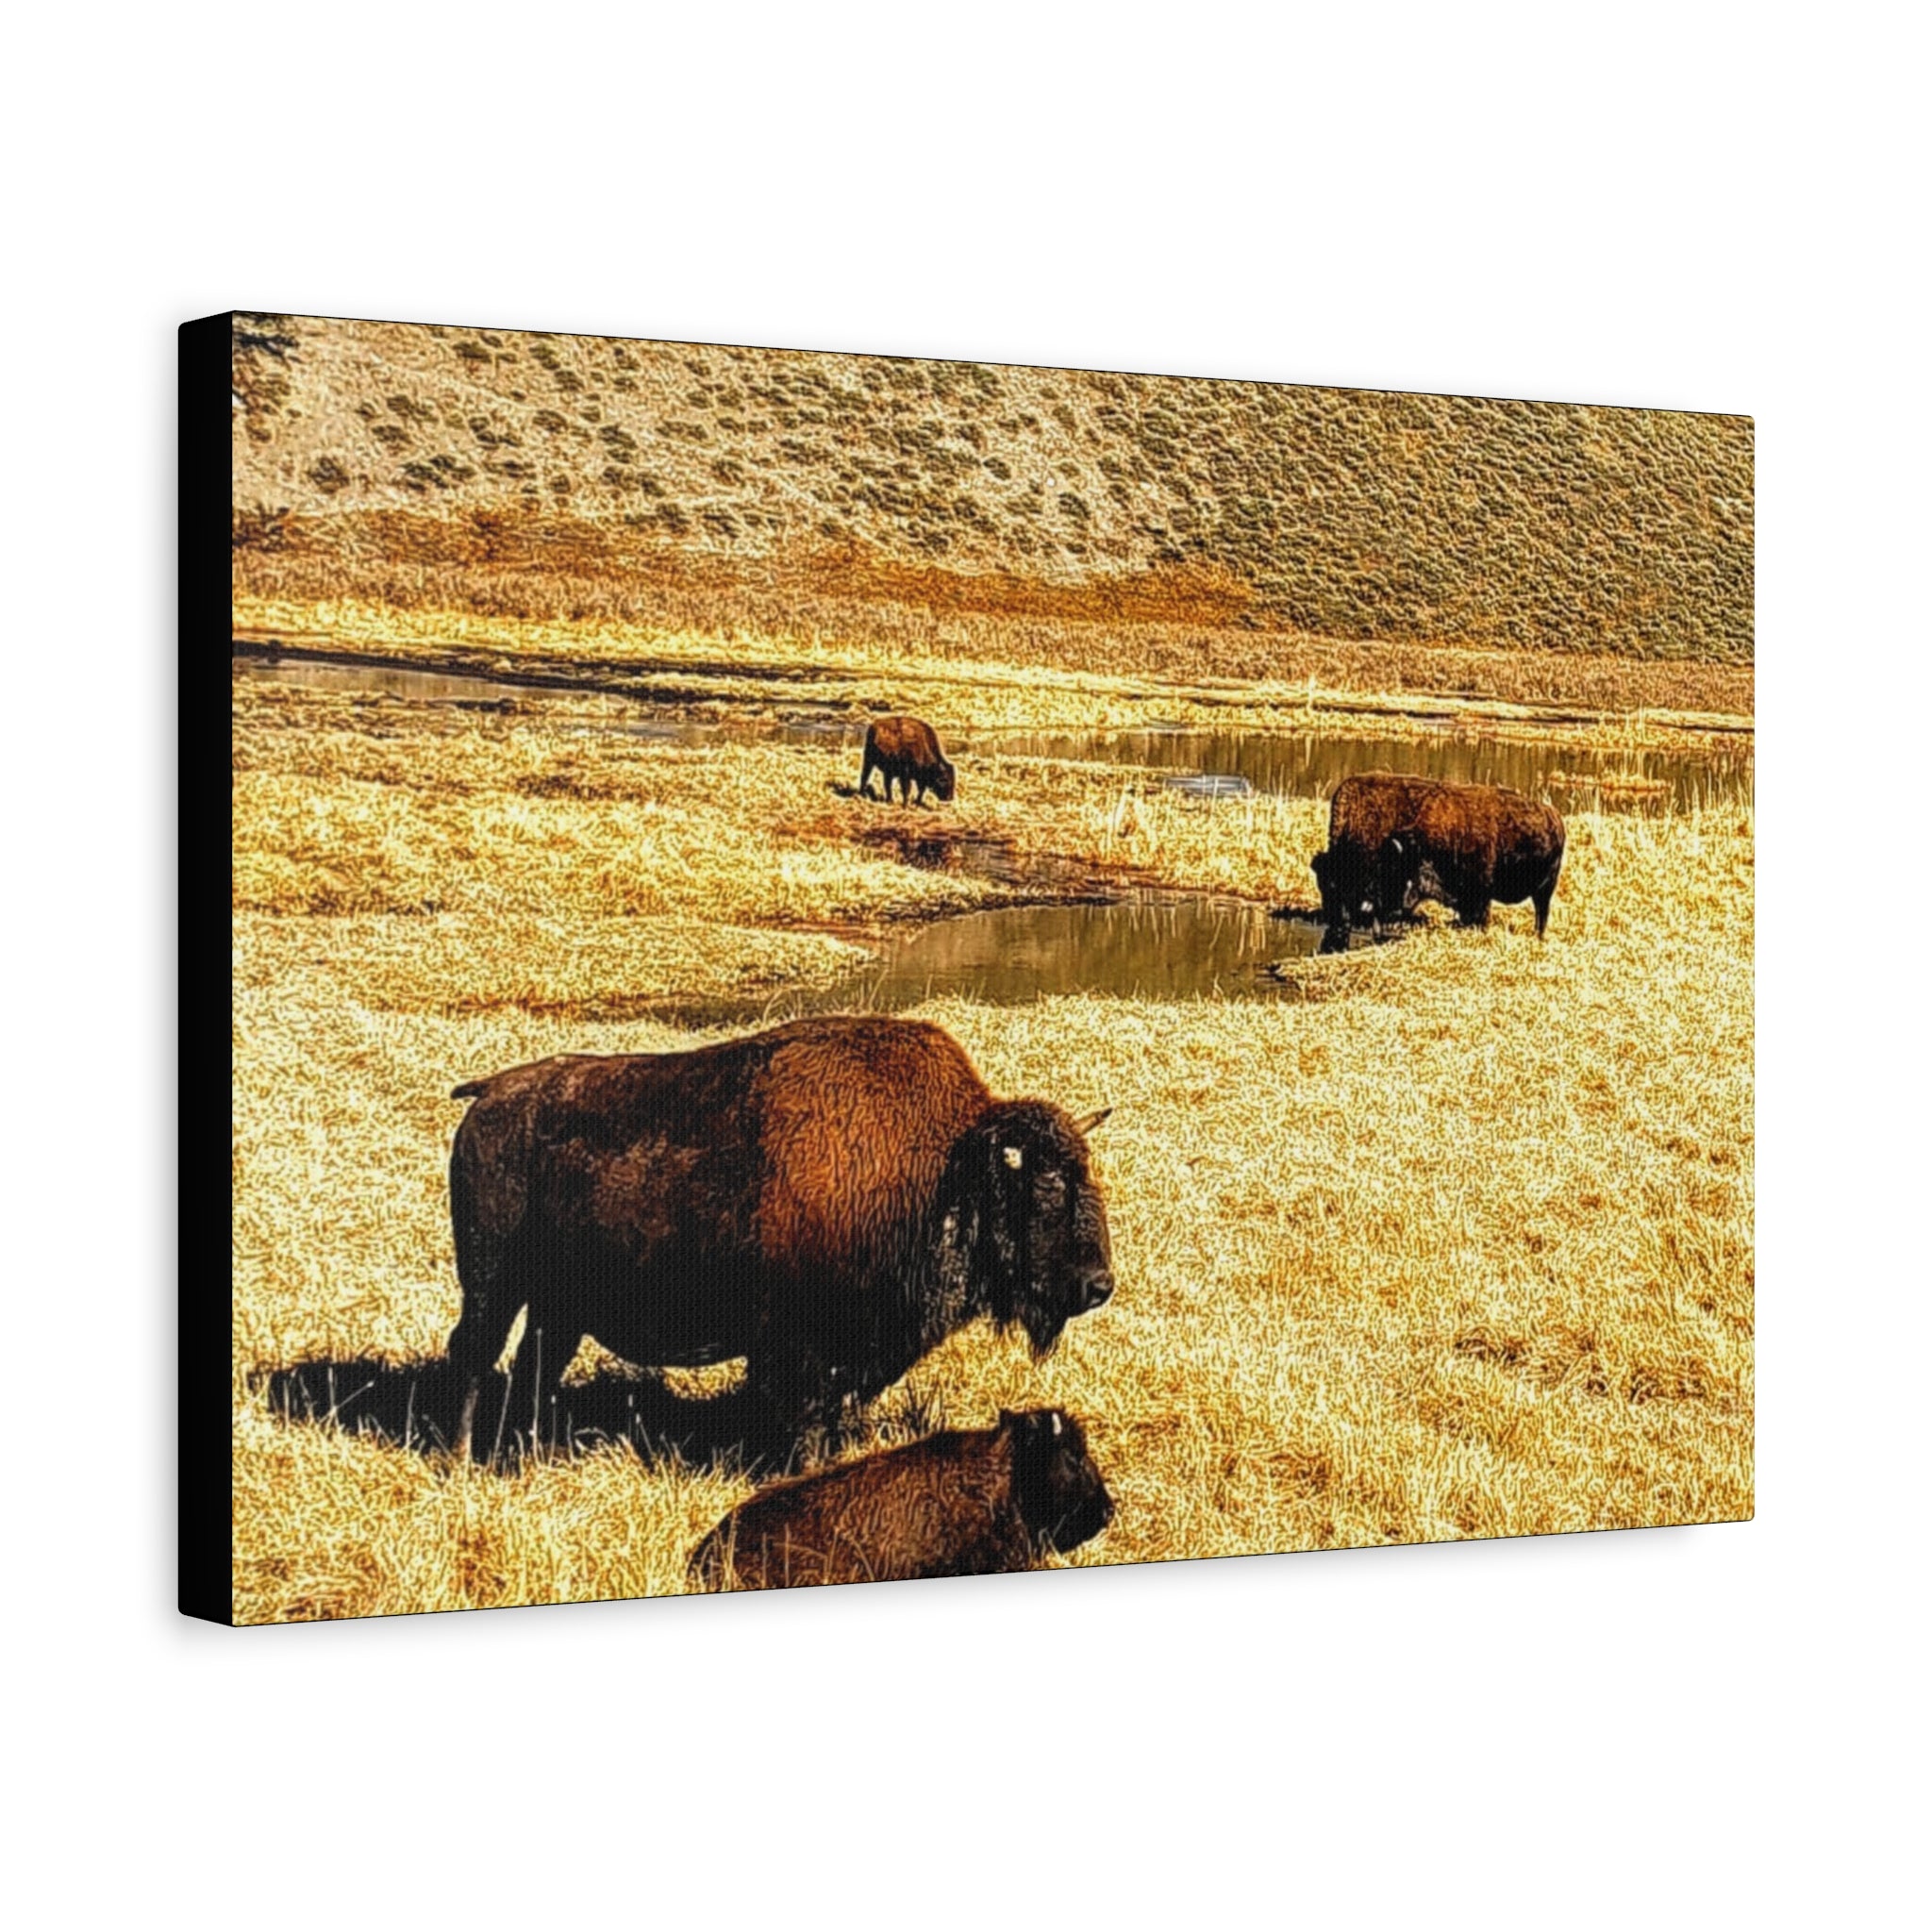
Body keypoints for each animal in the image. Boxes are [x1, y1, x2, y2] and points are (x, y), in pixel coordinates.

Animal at [444, 1016, 1114, 1459]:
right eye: (1046, 1186)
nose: (1098, 1285)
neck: (945, 1167)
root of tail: (490, 1092)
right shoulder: (799, 1349)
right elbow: (804, 1419)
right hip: (491, 1283)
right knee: (474, 1356)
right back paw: (463, 1460)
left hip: (557, 1305)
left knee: (534, 1365)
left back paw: (525, 1451)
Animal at [1312, 773, 1565, 951]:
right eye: (1323, 885)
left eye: (1340, 886)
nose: (1334, 922)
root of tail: (1554, 817)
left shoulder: (1480, 895)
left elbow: (1480, 917)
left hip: (1545, 889)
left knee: (1541, 913)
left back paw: (1538, 936)